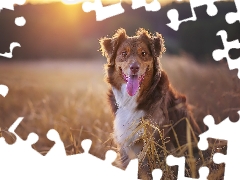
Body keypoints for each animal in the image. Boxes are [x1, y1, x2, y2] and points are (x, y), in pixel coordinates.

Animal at [98, 28, 202, 179]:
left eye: (143, 53)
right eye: (124, 53)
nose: (134, 68)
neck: (133, 100)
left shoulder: (156, 140)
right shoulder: (125, 144)